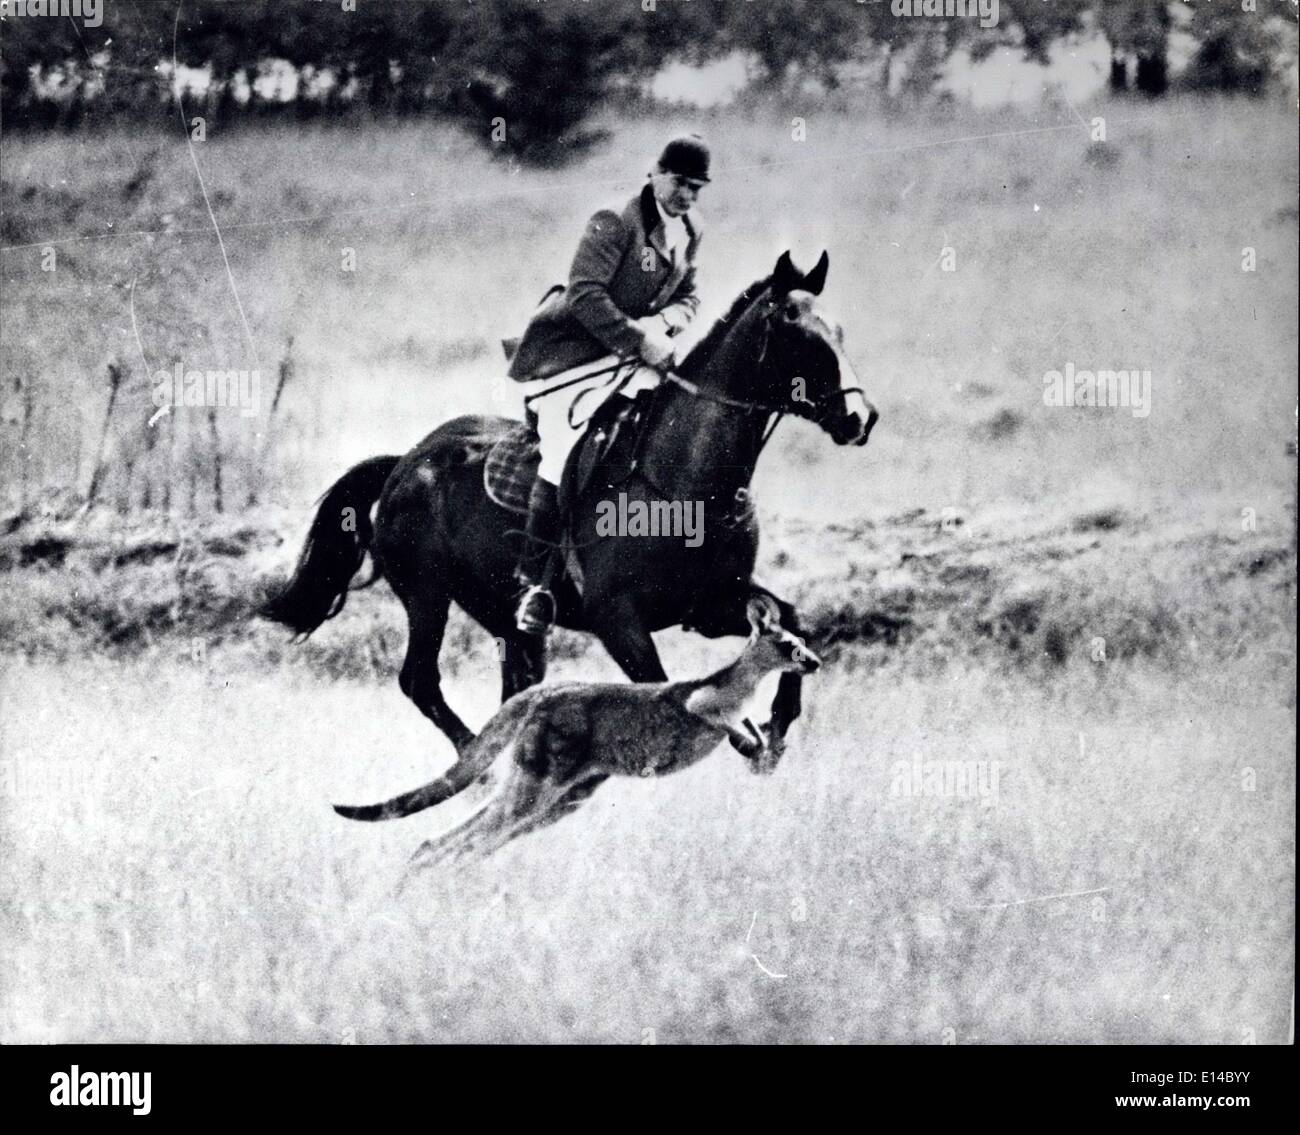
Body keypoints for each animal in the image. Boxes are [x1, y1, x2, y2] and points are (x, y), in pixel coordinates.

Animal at [260, 248, 878, 780]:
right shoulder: (618, 618)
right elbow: (666, 693)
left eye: (841, 332)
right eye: (797, 334)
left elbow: (793, 620)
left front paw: (774, 729)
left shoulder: (710, 603)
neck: (691, 482)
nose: (860, 418)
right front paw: (744, 734)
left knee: (515, 686)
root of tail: (405, 463)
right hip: (426, 594)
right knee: (421, 681)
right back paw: (479, 767)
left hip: (503, 614)